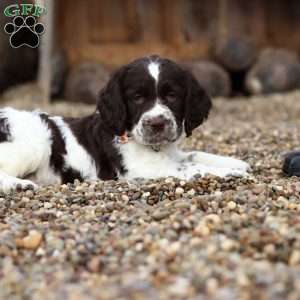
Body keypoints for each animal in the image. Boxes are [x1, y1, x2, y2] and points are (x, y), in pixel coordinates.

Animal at [0, 54, 250, 192]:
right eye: (137, 97)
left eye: (172, 96)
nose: (157, 124)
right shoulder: (144, 168)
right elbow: (192, 168)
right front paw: (232, 173)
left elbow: (193, 155)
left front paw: (236, 163)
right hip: (36, 145)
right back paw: (18, 185)